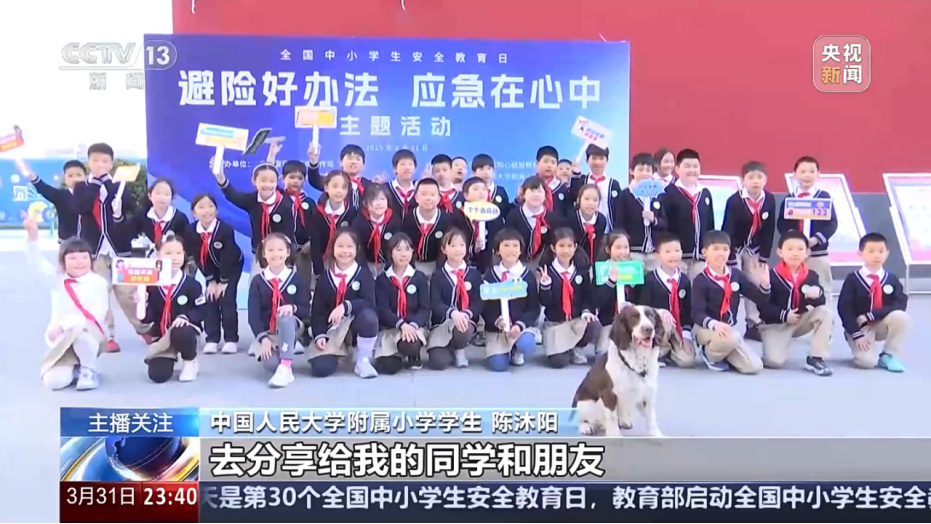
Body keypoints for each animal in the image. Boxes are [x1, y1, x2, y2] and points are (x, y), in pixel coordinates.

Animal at [572, 304, 670, 437]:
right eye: (634, 317)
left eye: (651, 316)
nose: (648, 328)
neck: (638, 360)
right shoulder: (609, 394)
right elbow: (612, 418)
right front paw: (615, 436)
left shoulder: (647, 393)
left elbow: (651, 418)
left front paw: (657, 435)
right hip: (586, 403)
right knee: (582, 420)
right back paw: (586, 427)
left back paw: (624, 421)